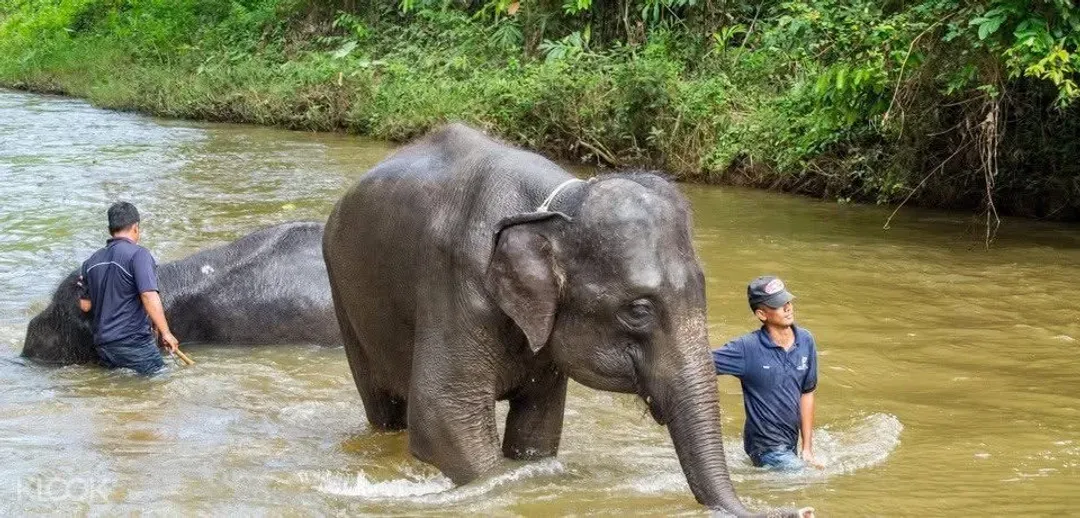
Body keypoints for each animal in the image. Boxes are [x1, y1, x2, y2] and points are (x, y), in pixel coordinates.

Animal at [323, 124, 811, 517]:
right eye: (638, 310)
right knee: (386, 410)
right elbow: (442, 414)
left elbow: (538, 427)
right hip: (345, 298)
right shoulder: (455, 285)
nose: (799, 510)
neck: (556, 206)